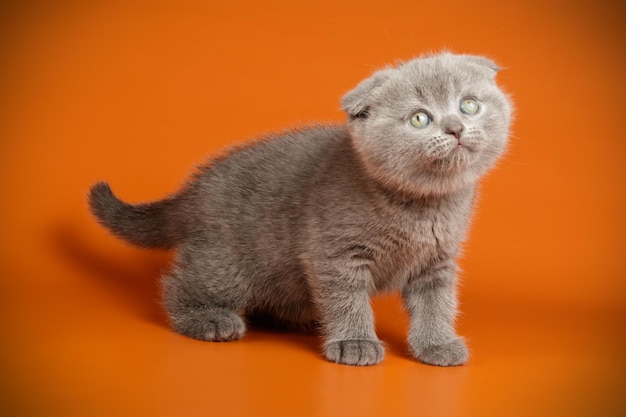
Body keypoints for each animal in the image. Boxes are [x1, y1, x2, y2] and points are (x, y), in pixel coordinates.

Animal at [91, 52, 512, 368]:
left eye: (469, 105)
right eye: (419, 118)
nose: (456, 127)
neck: (424, 206)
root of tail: (194, 191)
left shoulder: (437, 261)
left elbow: (437, 303)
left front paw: (437, 344)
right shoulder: (335, 254)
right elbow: (347, 298)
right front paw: (354, 341)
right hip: (227, 261)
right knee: (180, 284)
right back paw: (209, 319)